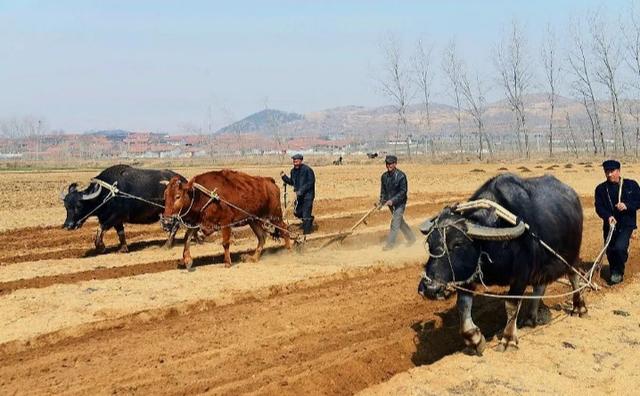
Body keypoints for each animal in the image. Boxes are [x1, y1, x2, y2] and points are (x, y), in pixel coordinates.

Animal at [418, 175, 588, 354]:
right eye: (429, 243)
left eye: (457, 244)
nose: (430, 288)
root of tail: (573, 196)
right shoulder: (468, 274)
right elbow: (463, 306)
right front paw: (475, 339)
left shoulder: (521, 276)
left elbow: (511, 305)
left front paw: (508, 339)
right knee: (539, 287)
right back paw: (530, 319)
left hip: (572, 256)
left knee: (575, 277)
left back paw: (579, 308)